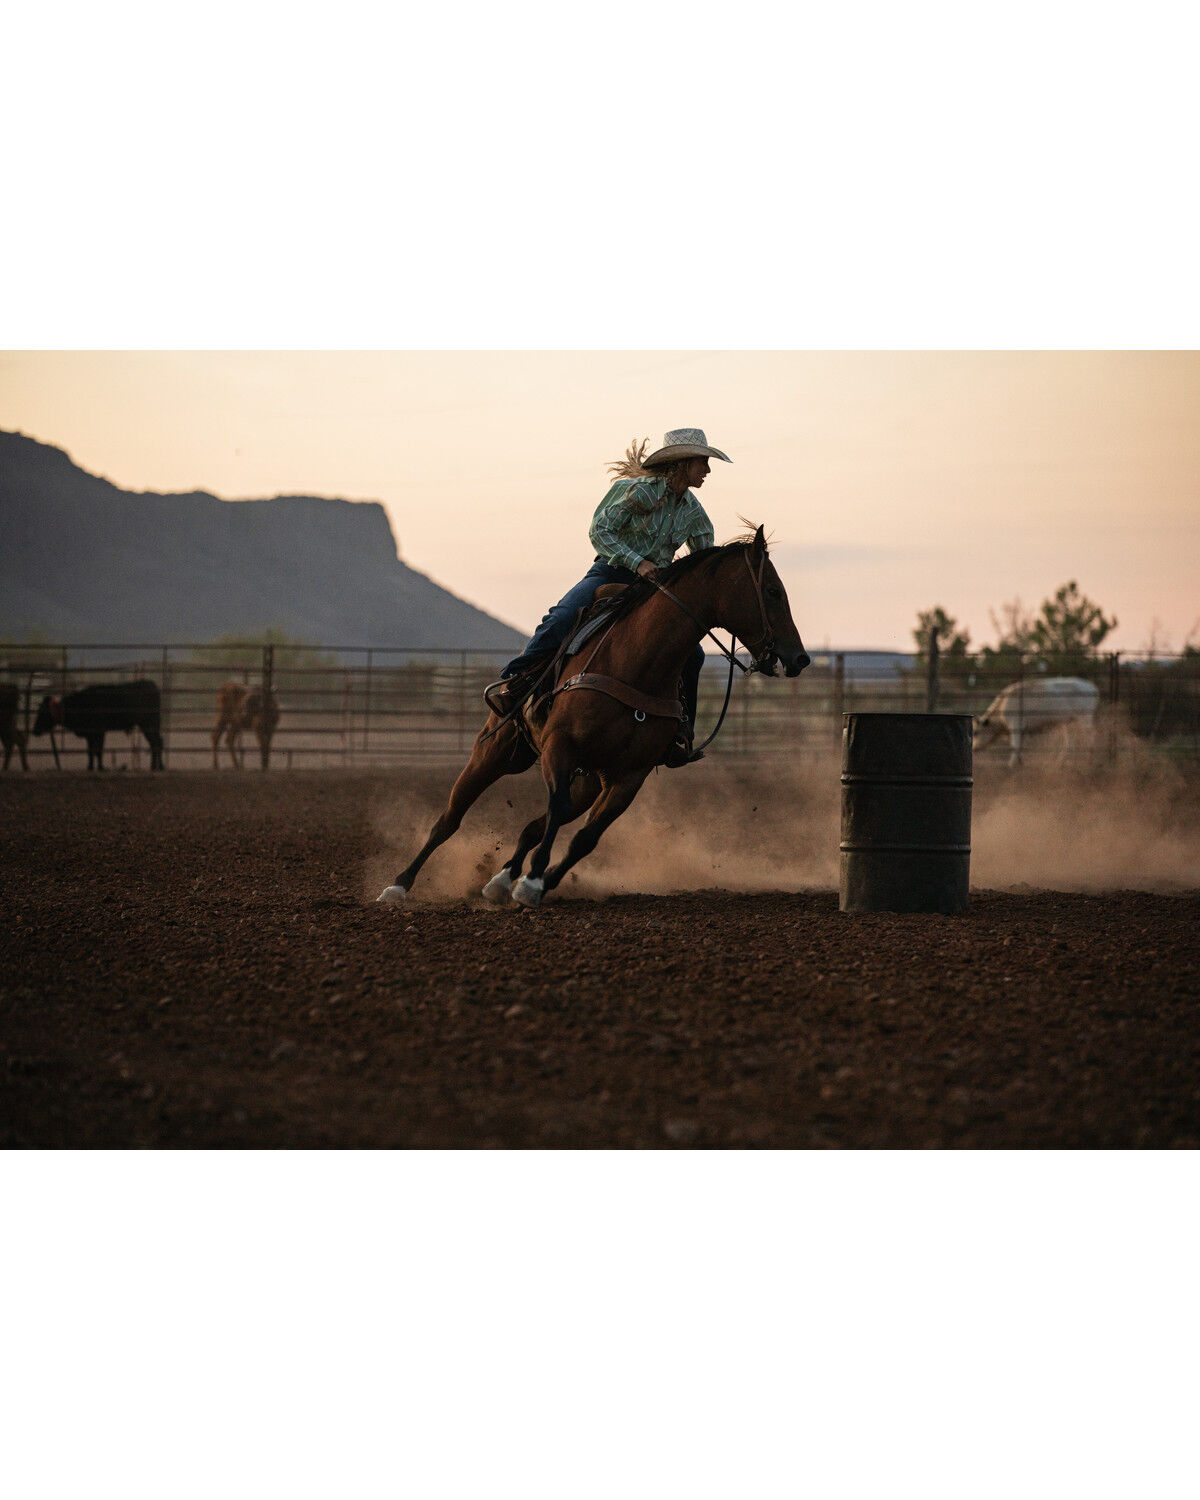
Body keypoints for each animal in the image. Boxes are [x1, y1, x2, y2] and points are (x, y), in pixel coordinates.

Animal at [32, 679, 164, 771]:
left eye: (43, 713)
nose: (34, 730)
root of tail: (151, 684)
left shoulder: (99, 731)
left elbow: (98, 750)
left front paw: (100, 767)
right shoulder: (90, 734)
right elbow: (90, 751)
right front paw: (90, 767)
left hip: (149, 724)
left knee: (157, 743)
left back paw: (158, 767)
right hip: (148, 726)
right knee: (156, 743)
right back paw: (155, 767)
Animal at [377, 526, 811, 908]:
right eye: (773, 591)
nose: (799, 658)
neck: (635, 664)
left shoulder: (629, 776)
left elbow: (585, 838)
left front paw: (537, 885)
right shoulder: (560, 748)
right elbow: (554, 809)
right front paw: (532, 881)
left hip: (588, 781)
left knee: (535, 825)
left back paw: (500, 881)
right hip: (498, 751)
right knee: (450, 818)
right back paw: (398, 886)